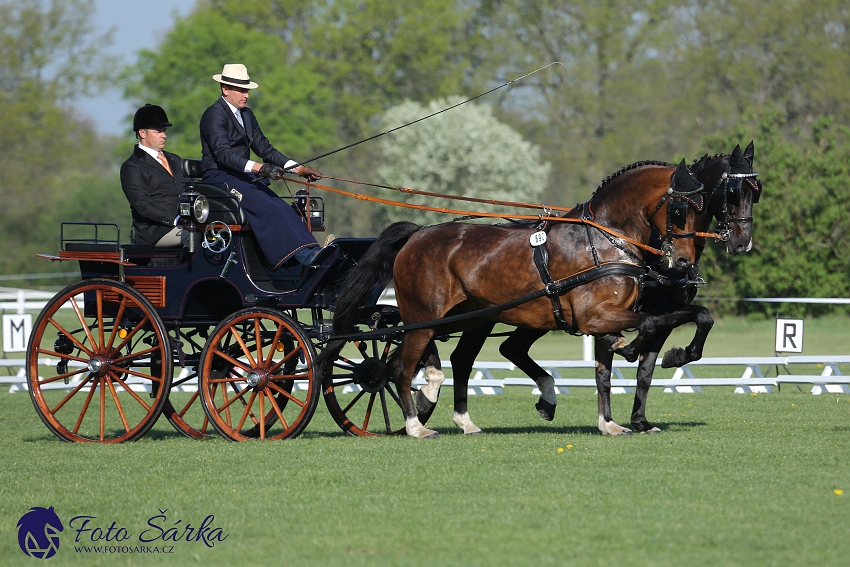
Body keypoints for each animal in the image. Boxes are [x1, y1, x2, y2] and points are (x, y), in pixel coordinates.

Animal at [318, 160, 704, 440]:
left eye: (702, 210)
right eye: (680, 210)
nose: (685, 262)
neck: (603, 240)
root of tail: (417, 234)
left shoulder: (613, 314)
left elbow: (689, 318)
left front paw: (613, 418)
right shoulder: (596, 316)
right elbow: (649, 326)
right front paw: (639, 349)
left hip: (469, 319)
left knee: (453, 361)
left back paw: (458, 416)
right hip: (422, 319)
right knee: (399, 367)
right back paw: (416, 426)